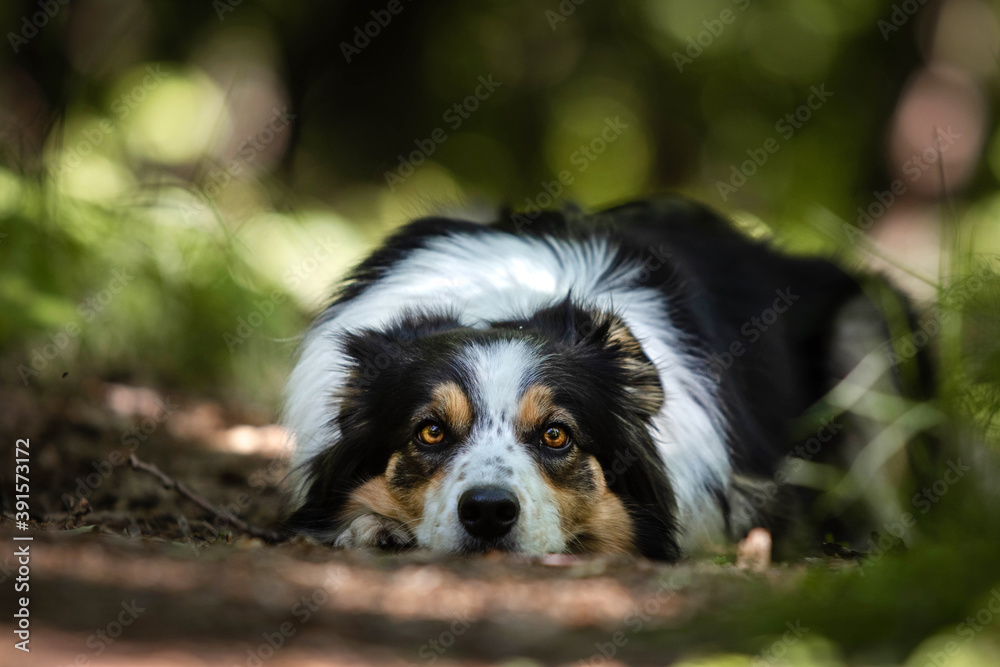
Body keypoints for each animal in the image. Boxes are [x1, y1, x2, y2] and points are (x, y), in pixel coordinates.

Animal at [278, 197, 924, 560]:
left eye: (556, 435)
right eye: (430, 432)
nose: (487, 512)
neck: (510, 306)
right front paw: (369, 530)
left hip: (867, 323)